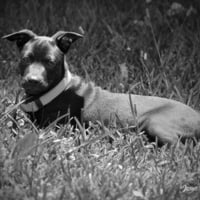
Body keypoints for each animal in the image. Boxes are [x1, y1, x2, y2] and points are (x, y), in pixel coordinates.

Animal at [2, 29, 200, 145]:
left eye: (50, 62)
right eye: (26, 59)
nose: (32, 80)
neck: (53, 92)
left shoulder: (54, 125)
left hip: (154, 122)